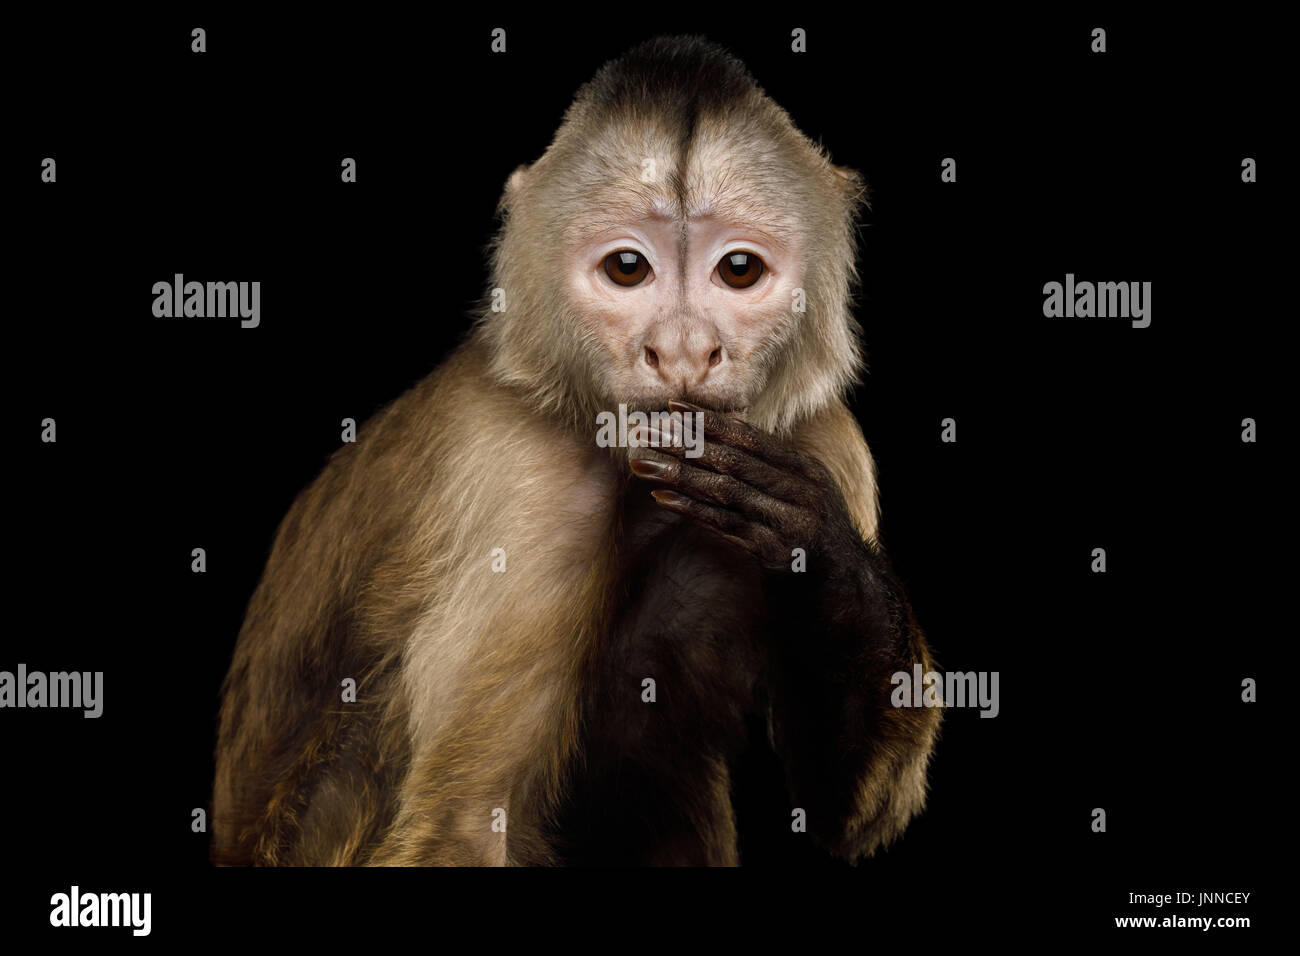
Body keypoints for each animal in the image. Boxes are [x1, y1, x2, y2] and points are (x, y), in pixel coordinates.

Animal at [212, 35, 941, 867]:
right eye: (628, 268)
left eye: (739, 269)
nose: (682, 350)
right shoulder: (527, 480)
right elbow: (467, 821)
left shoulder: (824, 439)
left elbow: (847, 810)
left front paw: (813, 545)